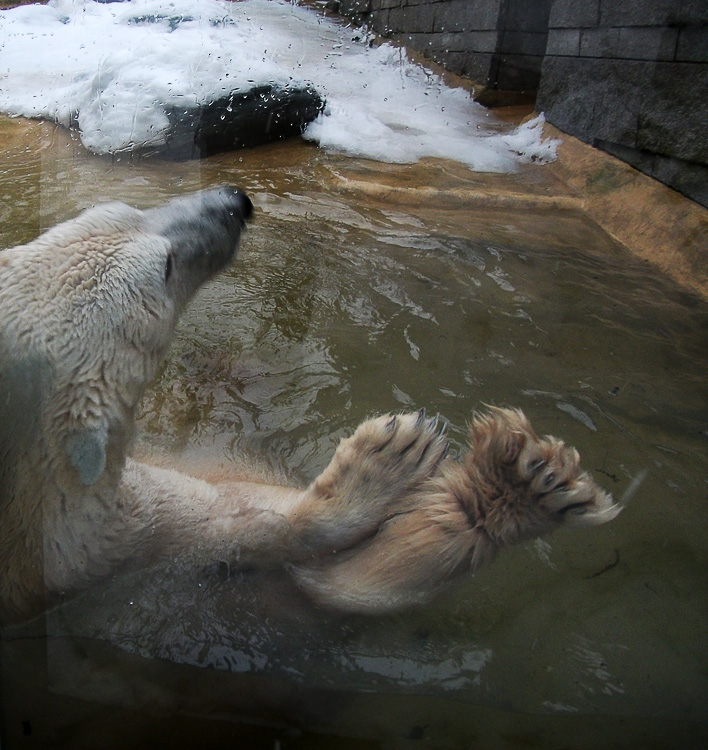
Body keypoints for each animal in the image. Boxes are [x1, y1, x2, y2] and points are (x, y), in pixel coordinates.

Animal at [0, 188, 620, 624]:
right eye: (166, 267)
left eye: (127, 209)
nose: (235, 202)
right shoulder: (112, 543)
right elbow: (316, 574)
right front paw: (407, 464)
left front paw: (515, 481)